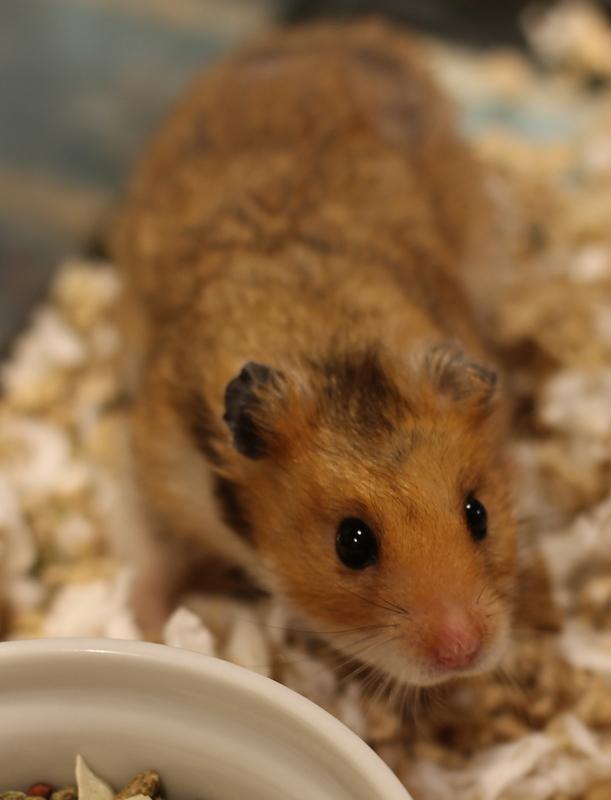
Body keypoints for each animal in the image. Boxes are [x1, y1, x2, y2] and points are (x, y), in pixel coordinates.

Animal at [110, 20, 518, 687]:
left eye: (478, 513)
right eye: (352, 542)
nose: (463, 653)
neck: (331, 345)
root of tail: (327, 32)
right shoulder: (157, 465)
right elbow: (157, 551)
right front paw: (152, 626)